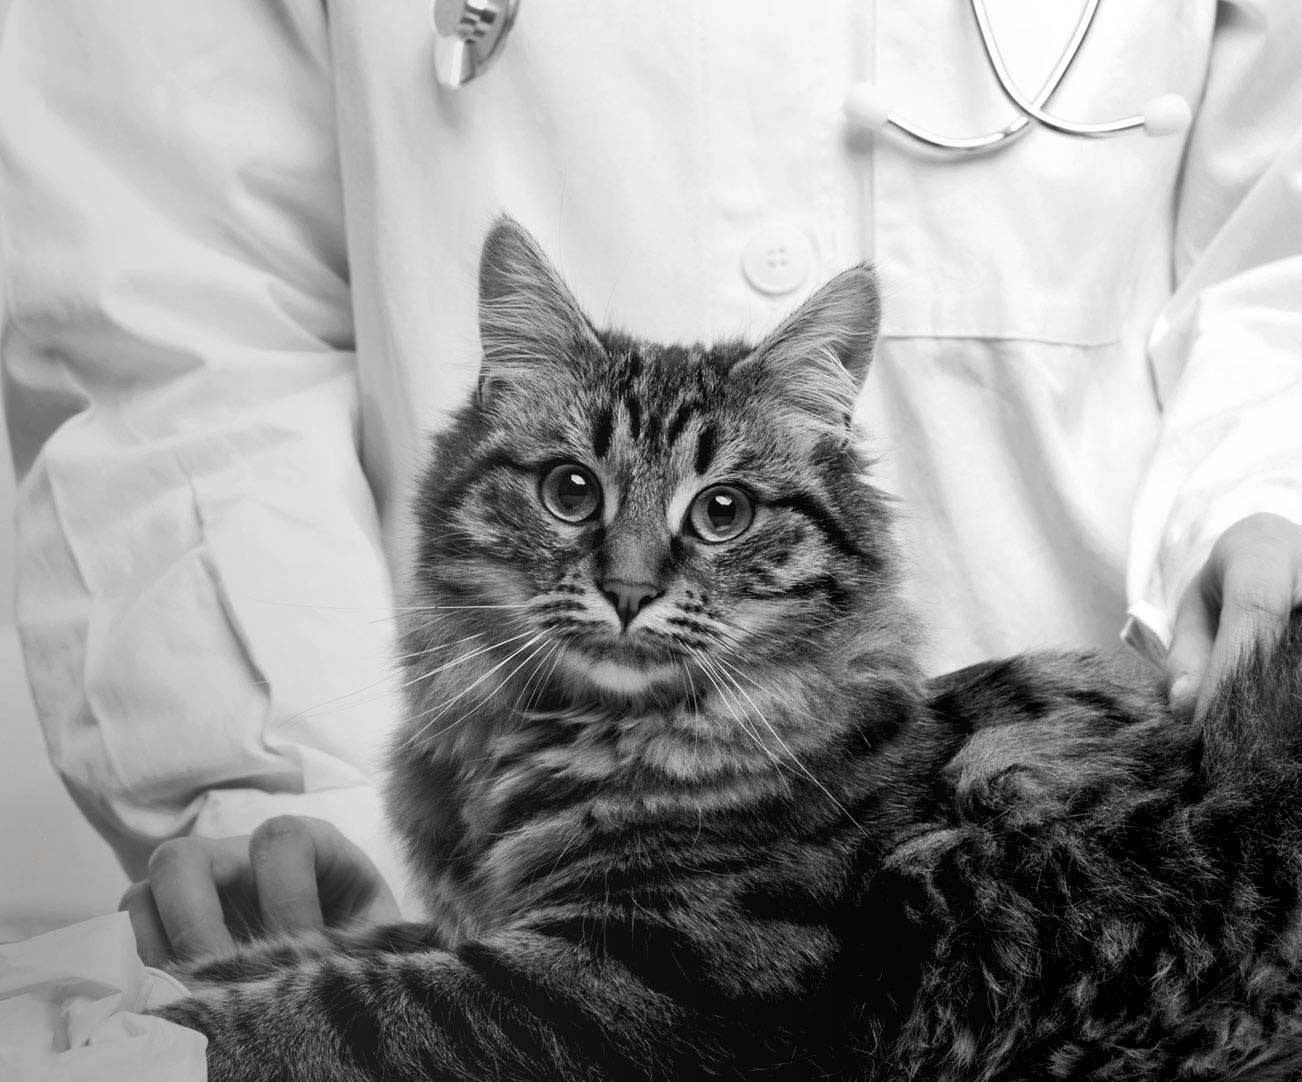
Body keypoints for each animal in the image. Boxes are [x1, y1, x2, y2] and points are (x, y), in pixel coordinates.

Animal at [157, 216, 1302, 1078]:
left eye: (722, 512)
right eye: (570, 491)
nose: (627, 591)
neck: (548, 743)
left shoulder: (627, 978)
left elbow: (336, 1006)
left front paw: (163, 1019)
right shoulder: (476, 926)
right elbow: (322, 945)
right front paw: (187, 967)